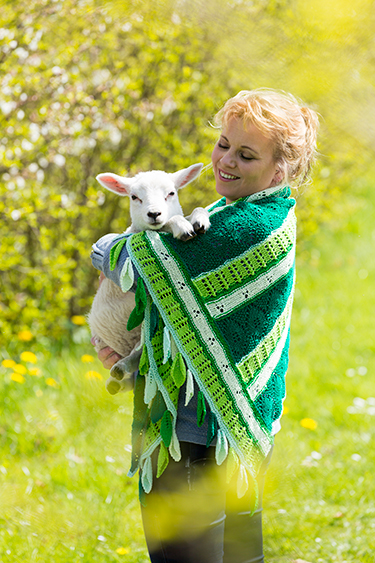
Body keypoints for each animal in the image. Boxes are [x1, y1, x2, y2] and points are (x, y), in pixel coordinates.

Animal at [88, 162, 212, 396]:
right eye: (134, 197)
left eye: (171, 193)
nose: (154, 214)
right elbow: (173, 221)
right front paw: (182, 227)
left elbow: (196, 211)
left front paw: (200, 219)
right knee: (139, 356)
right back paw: (119, 371)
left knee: (142, 355)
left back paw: (118, 377)